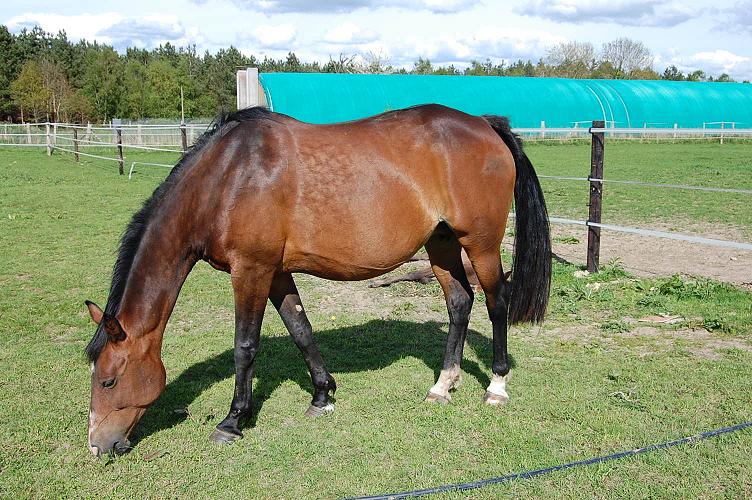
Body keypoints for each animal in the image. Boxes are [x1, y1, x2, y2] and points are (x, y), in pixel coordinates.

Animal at [83, 105, 552, 458]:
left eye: (108, 381)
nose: (98, 445)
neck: (227, 178)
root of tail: (484, 123)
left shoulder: (251, 270)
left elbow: (245, 346)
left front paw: (233, 420)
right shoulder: (276, 273)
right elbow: (301, 330)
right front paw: (322, 395)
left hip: (482, 244)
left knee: (496, 303)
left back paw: (496, 386)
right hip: (442, 243)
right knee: (459, 302)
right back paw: (442, 385)